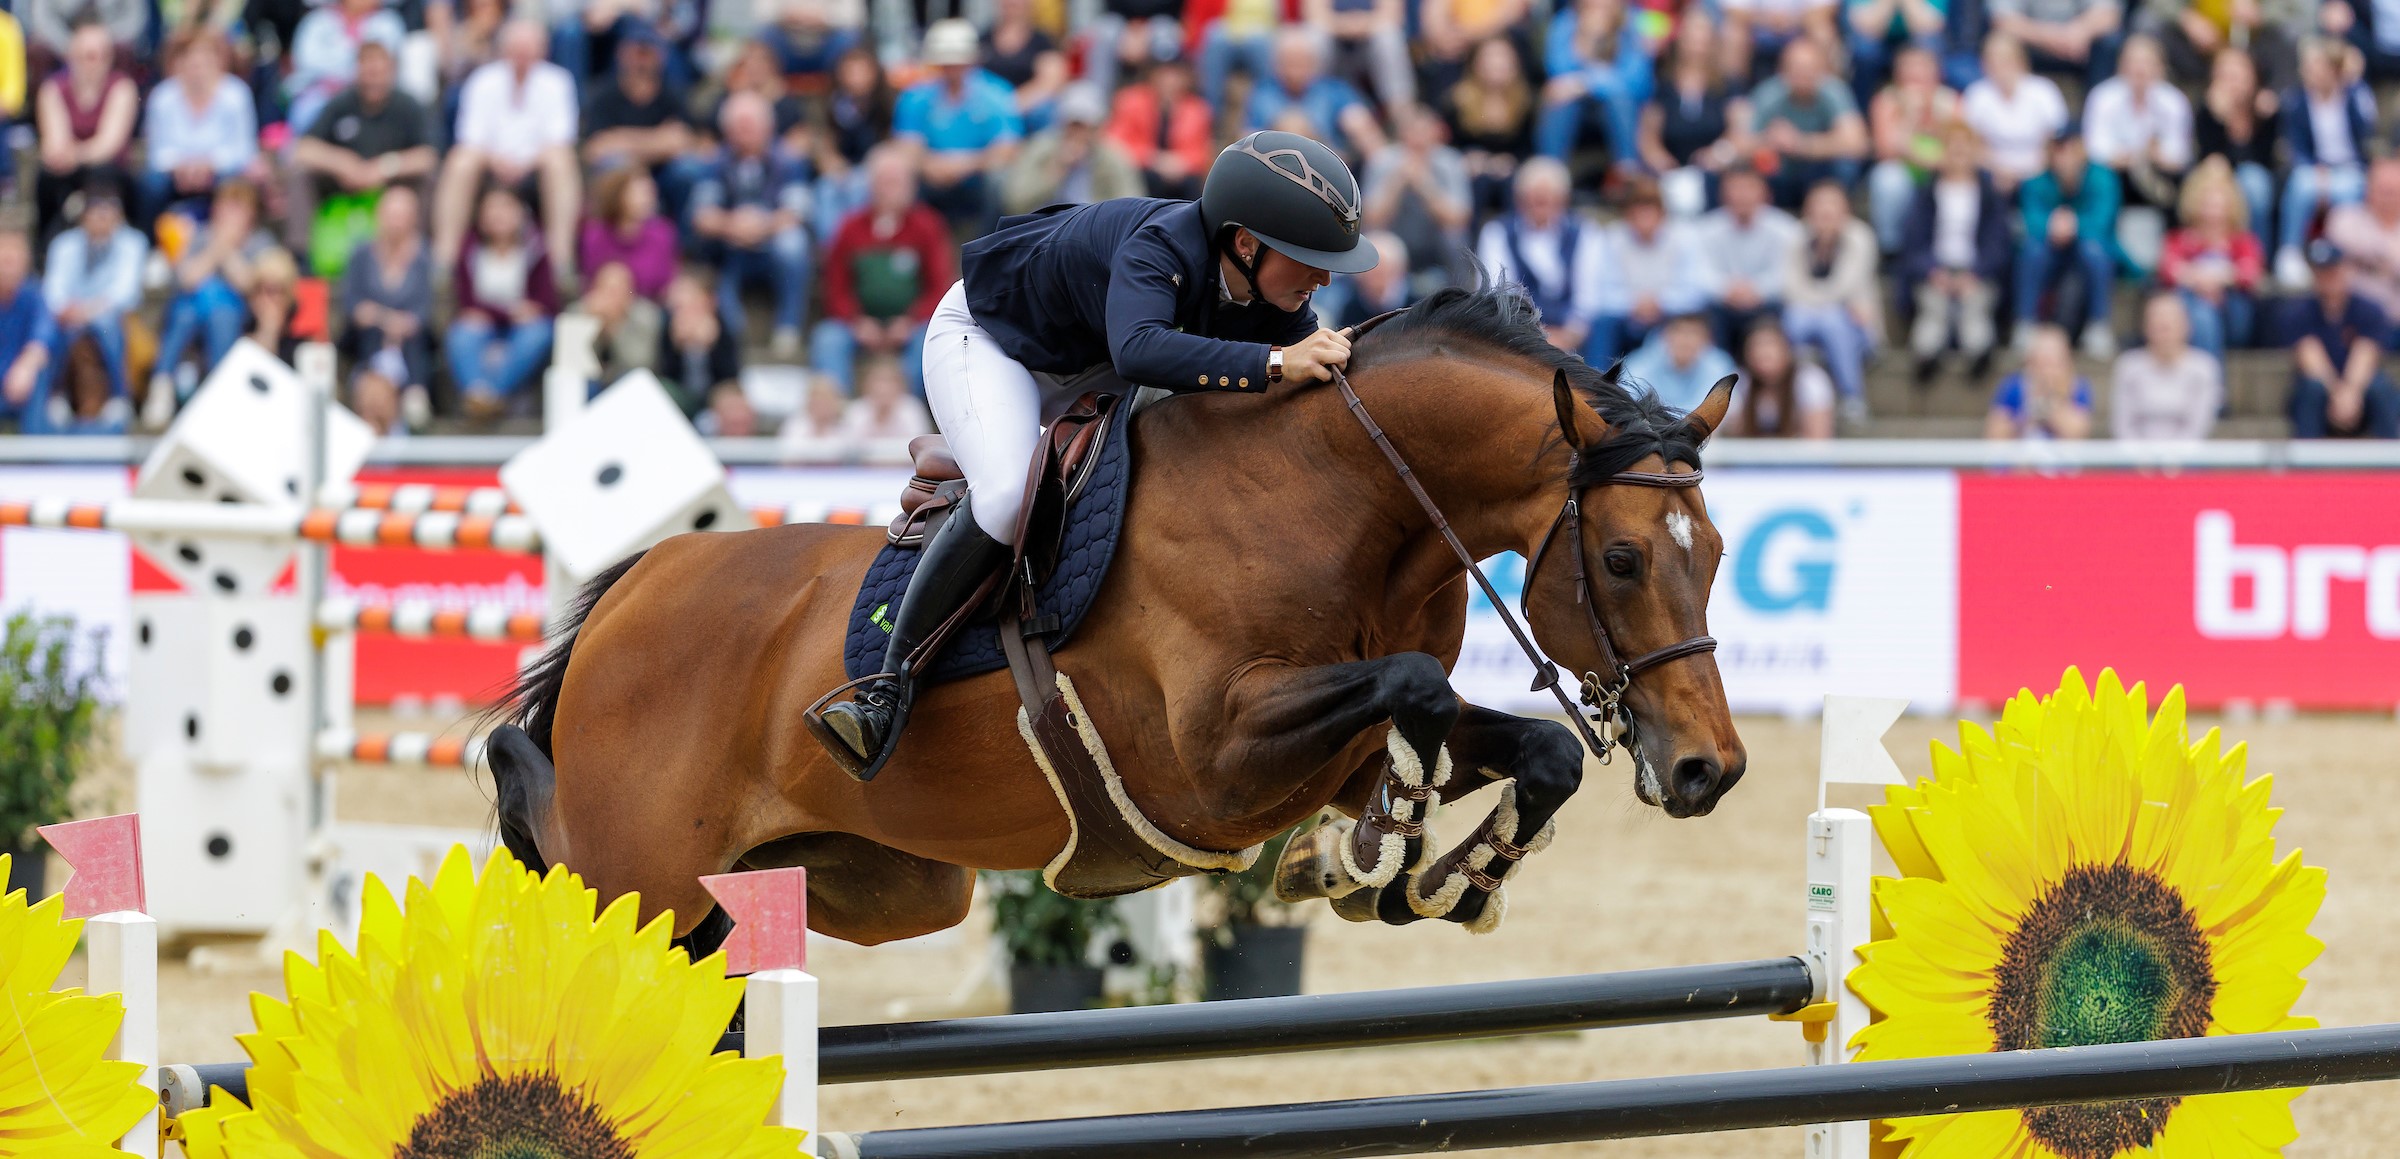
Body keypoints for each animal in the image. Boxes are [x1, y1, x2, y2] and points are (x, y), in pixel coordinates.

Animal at [487, 285, 1756, 950]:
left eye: (1717, 554)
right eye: (1625, 557)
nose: (1711, 770)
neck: (1346, 493)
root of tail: (636, 588)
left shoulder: (1326, 745)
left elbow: (1528, 747)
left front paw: (1422, 878)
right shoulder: (1212, 757)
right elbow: (1417, 692)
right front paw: (1365, 859)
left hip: (866, 884)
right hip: (642, 872)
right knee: (556, 867)